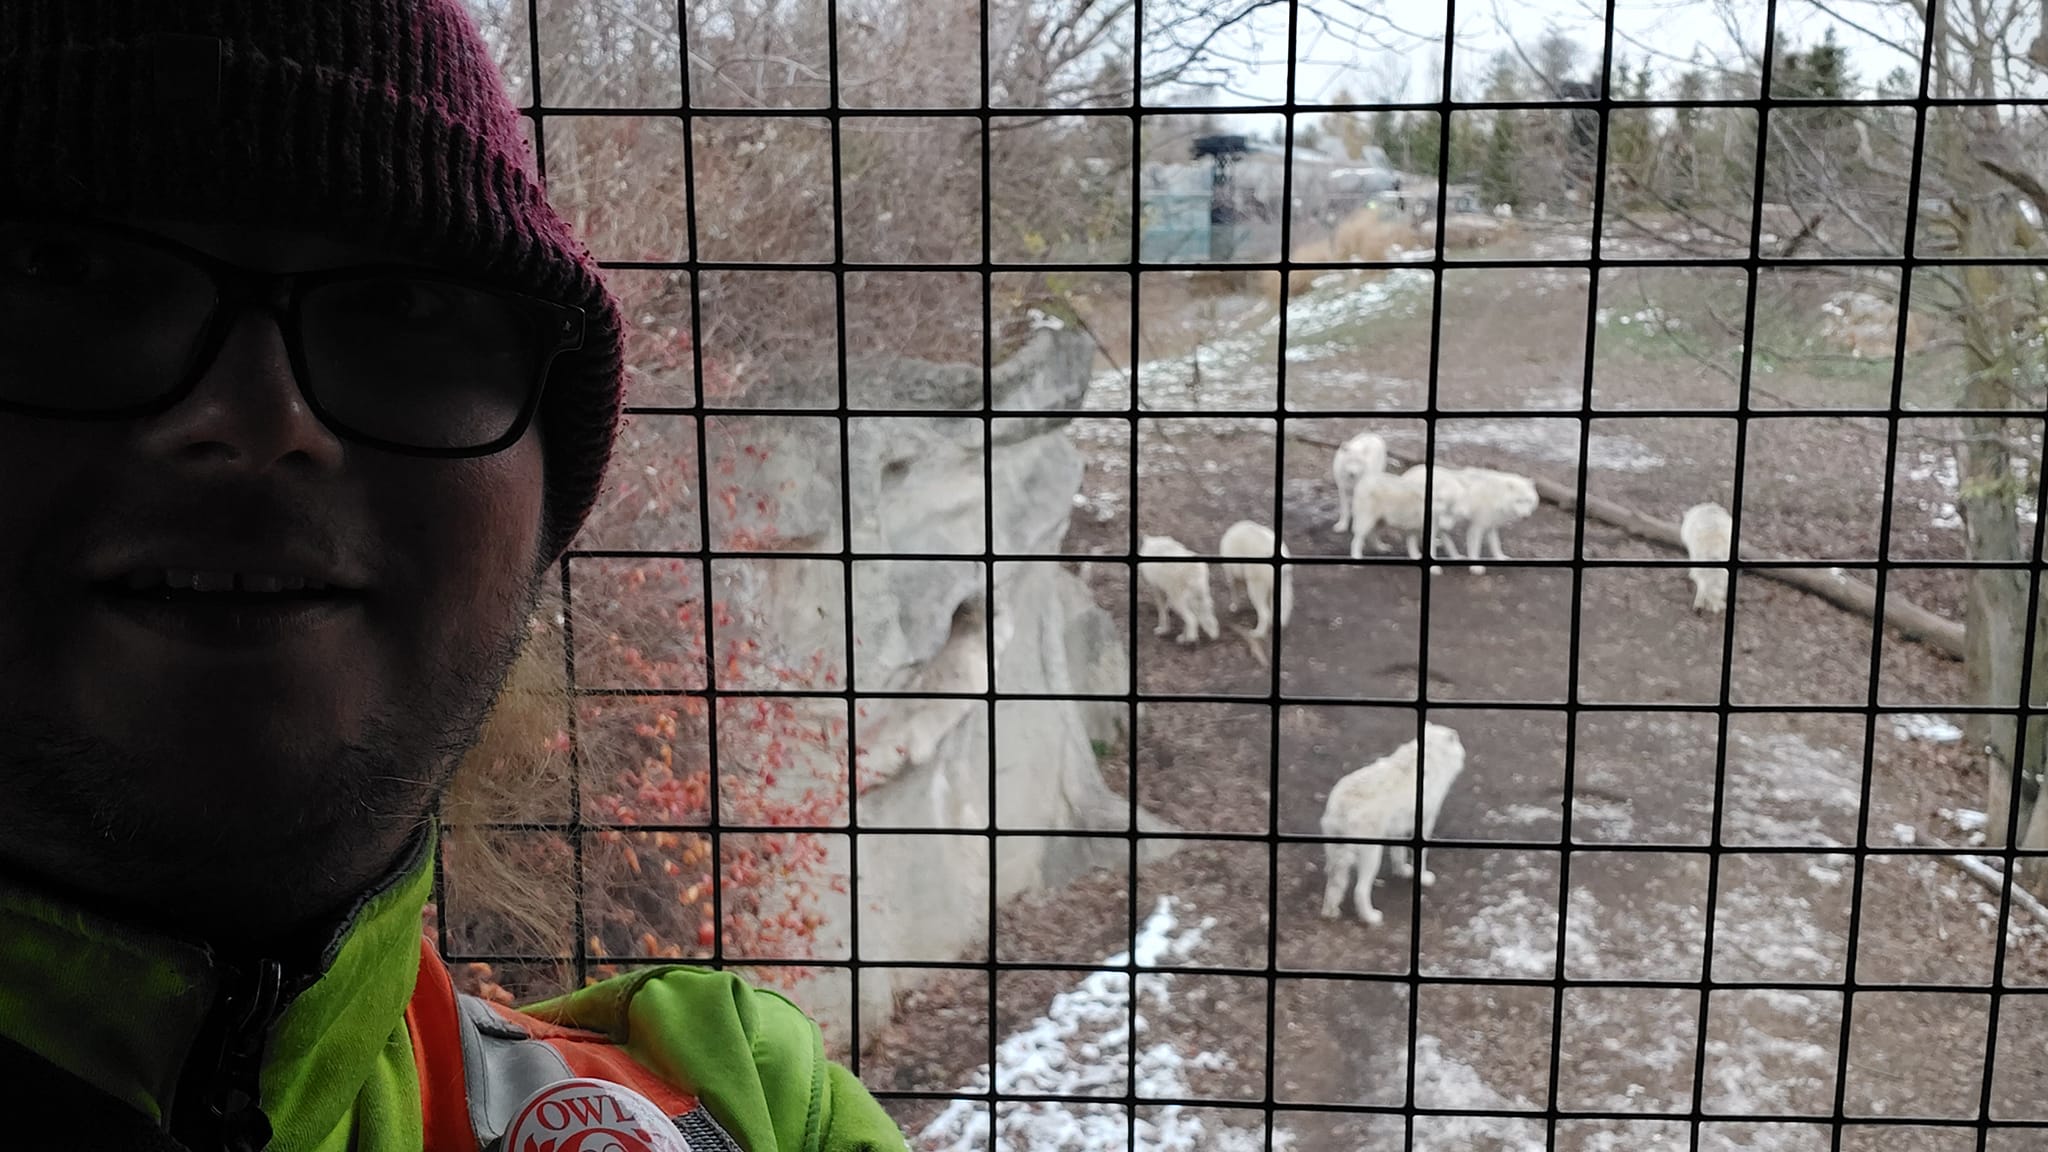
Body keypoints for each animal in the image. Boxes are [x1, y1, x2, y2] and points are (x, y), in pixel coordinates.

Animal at [1318, 717, 1466, 922]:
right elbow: (1421, 855)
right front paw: (1423, 877)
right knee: (1359, 891)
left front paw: (1403, 871)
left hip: (1335, 852)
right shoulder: (1425, 822)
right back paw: (1372, 918)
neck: (1430, 752)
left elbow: (1398, 853)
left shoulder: (1399, 828)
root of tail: (1342, 808)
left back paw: (1331, 913)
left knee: (1333, 881)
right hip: (1372, 856)